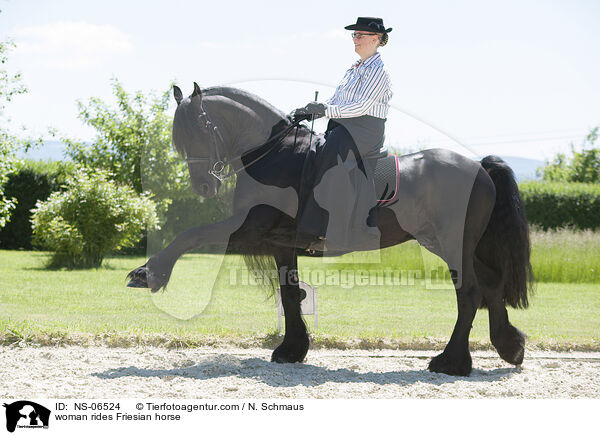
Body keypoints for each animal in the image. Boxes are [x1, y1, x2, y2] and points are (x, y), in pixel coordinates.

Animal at [127, 83, 536, 376]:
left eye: (202, 128)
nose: (203, 186)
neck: (275, 153)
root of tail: (479, 167)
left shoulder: (250, 226)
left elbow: (190, 235)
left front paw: (148, 274)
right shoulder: (280, 243)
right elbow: (290, 294)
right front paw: (291, 350)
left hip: (453, 244)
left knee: (469, 293)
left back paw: (452, 362)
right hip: (457, 244)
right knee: (490, 286)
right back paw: (510, 346)